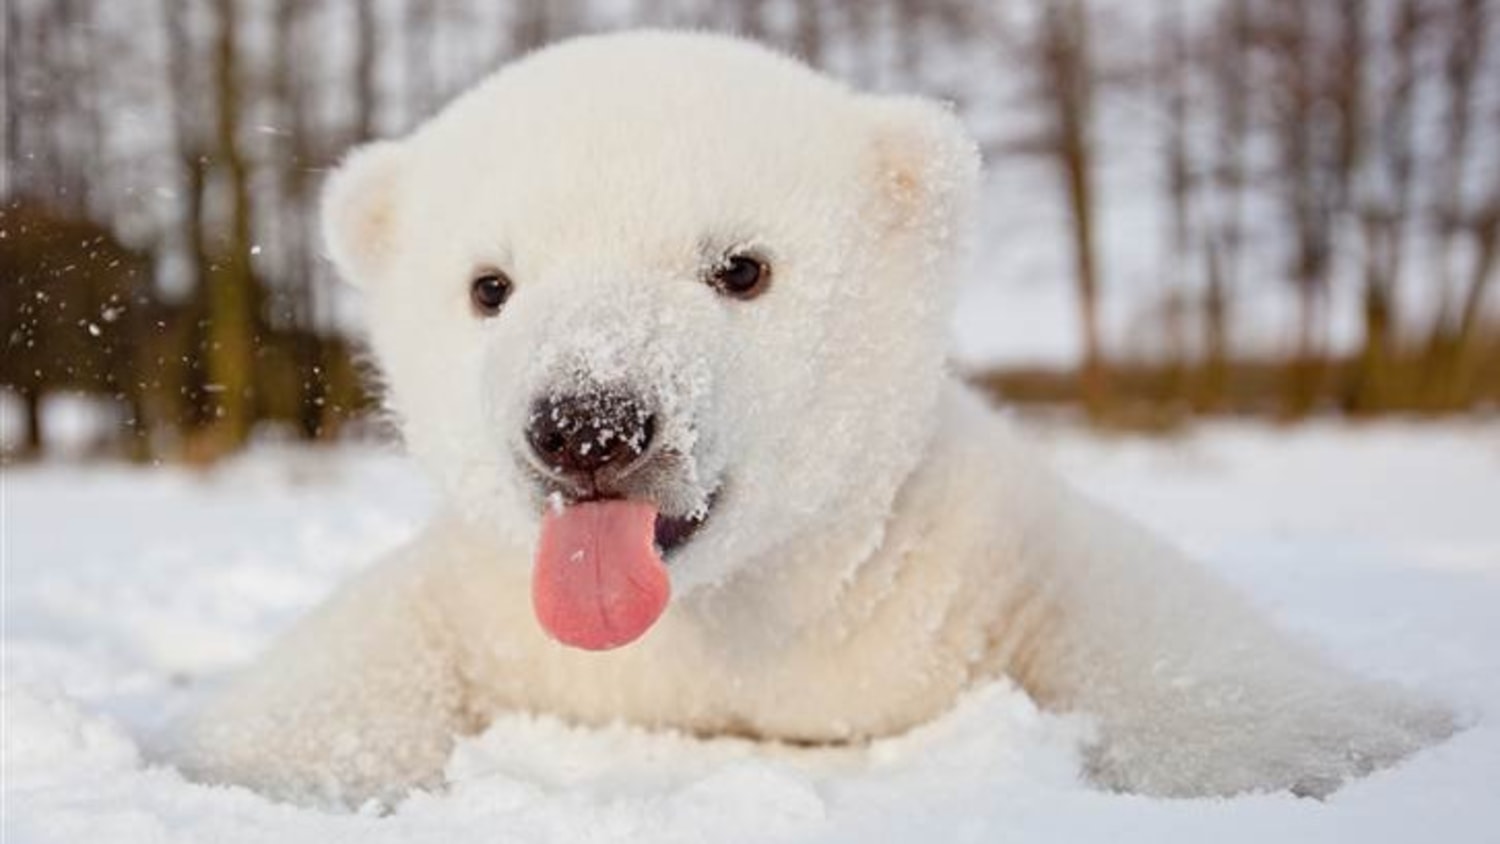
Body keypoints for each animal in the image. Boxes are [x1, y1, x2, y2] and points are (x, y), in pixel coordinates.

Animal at [167, 31, 1455, 807]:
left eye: (741, 267)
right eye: (490, 285)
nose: (589, 422)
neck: (719, 620)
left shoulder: (958, 550)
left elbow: (1142, 618)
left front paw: (1348, 740)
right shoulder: (498, 603)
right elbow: (364, 653)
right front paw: (242, 761)